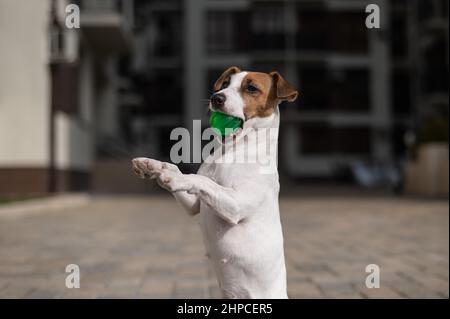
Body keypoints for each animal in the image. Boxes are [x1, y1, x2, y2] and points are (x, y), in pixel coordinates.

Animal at [132, 67, 298, 300]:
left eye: (251, 88)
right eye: (226, 83)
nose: (216, 98)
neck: (232, 152)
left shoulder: (235, 205)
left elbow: (202, 180)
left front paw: (175, 178)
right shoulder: (195, 205)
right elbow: (178, 170)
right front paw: (152, 166)